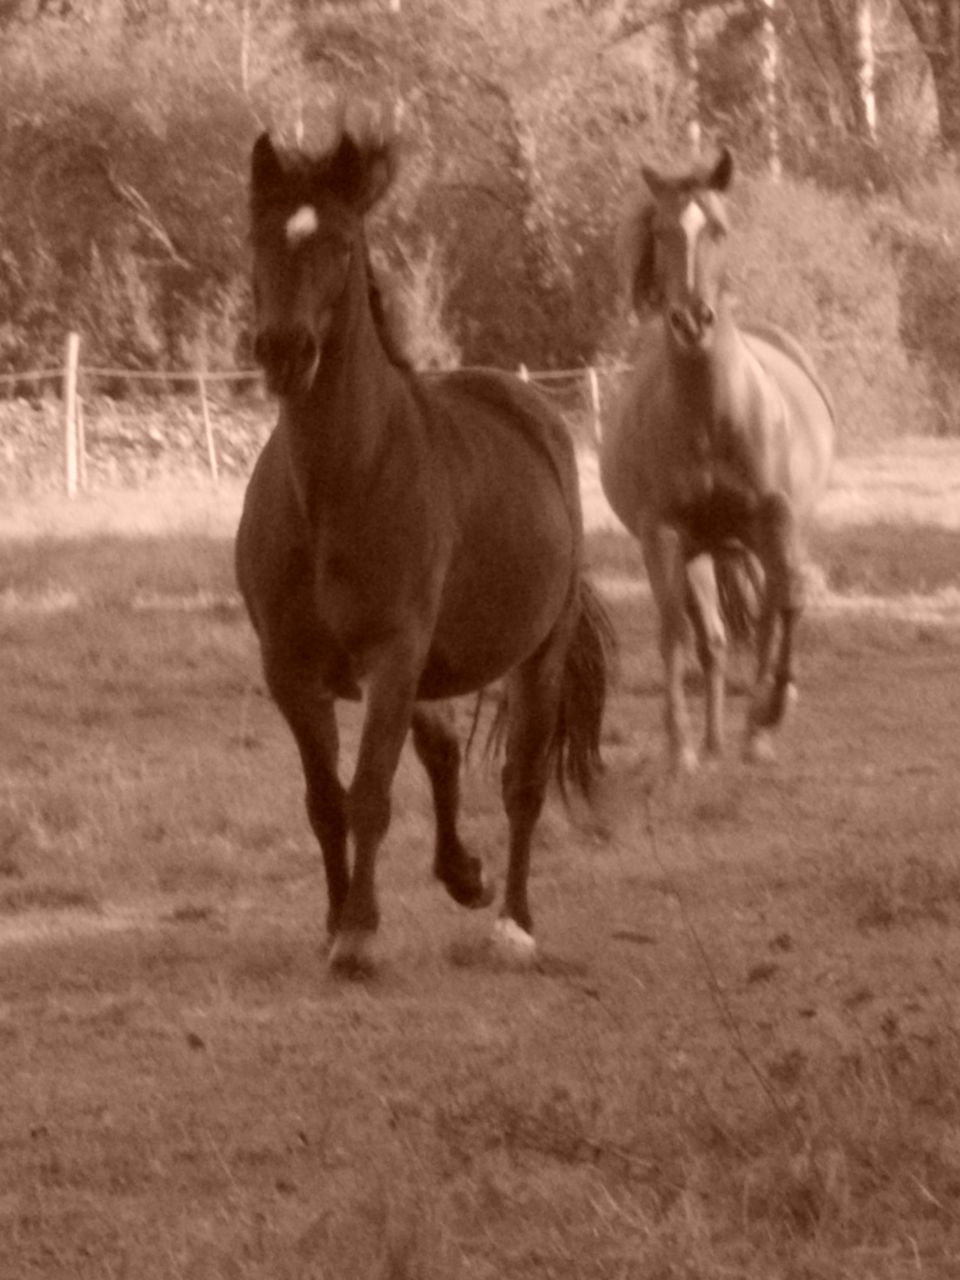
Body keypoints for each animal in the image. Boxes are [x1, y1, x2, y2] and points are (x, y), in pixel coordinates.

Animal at [235, 118, 615, 975]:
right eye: (257, 239)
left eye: (341, 244)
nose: (284, 350)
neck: (338, 486)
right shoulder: (291, 670)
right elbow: (326, 800)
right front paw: (335, 921)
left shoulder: (392, 652)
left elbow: (370, 792)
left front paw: (359, 935)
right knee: (441, 751)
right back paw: (464, 875)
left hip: (531, 657)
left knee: (521, 781)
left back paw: (511, 922)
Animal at [599, 147, 834, 771]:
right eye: (662, 231)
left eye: (719, 229)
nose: (692, 321)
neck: (712, 414)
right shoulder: (663, 535)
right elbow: (675, 632)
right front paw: (681, 745)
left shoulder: (777, 521)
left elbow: (789, 604)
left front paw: (769, 716)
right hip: (704, 551)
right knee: (713, 639)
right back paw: (712, 740)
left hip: (761, 538)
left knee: (770, 610)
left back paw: (756, 724)